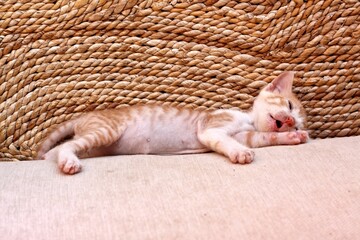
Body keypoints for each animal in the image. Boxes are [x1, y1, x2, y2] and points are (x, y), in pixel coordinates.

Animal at [38, 71, 310, 174]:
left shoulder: (248, 135)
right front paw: (240, 153)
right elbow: (227, 140)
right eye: (288, 106)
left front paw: (291, 138)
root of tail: (84, 116)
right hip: (106, 131)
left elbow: (263, 137)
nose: (288, 121)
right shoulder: (210, 128)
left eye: (297, 123)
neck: (248, 121)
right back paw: (69, 161)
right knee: (66, 146)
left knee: (58, 149)